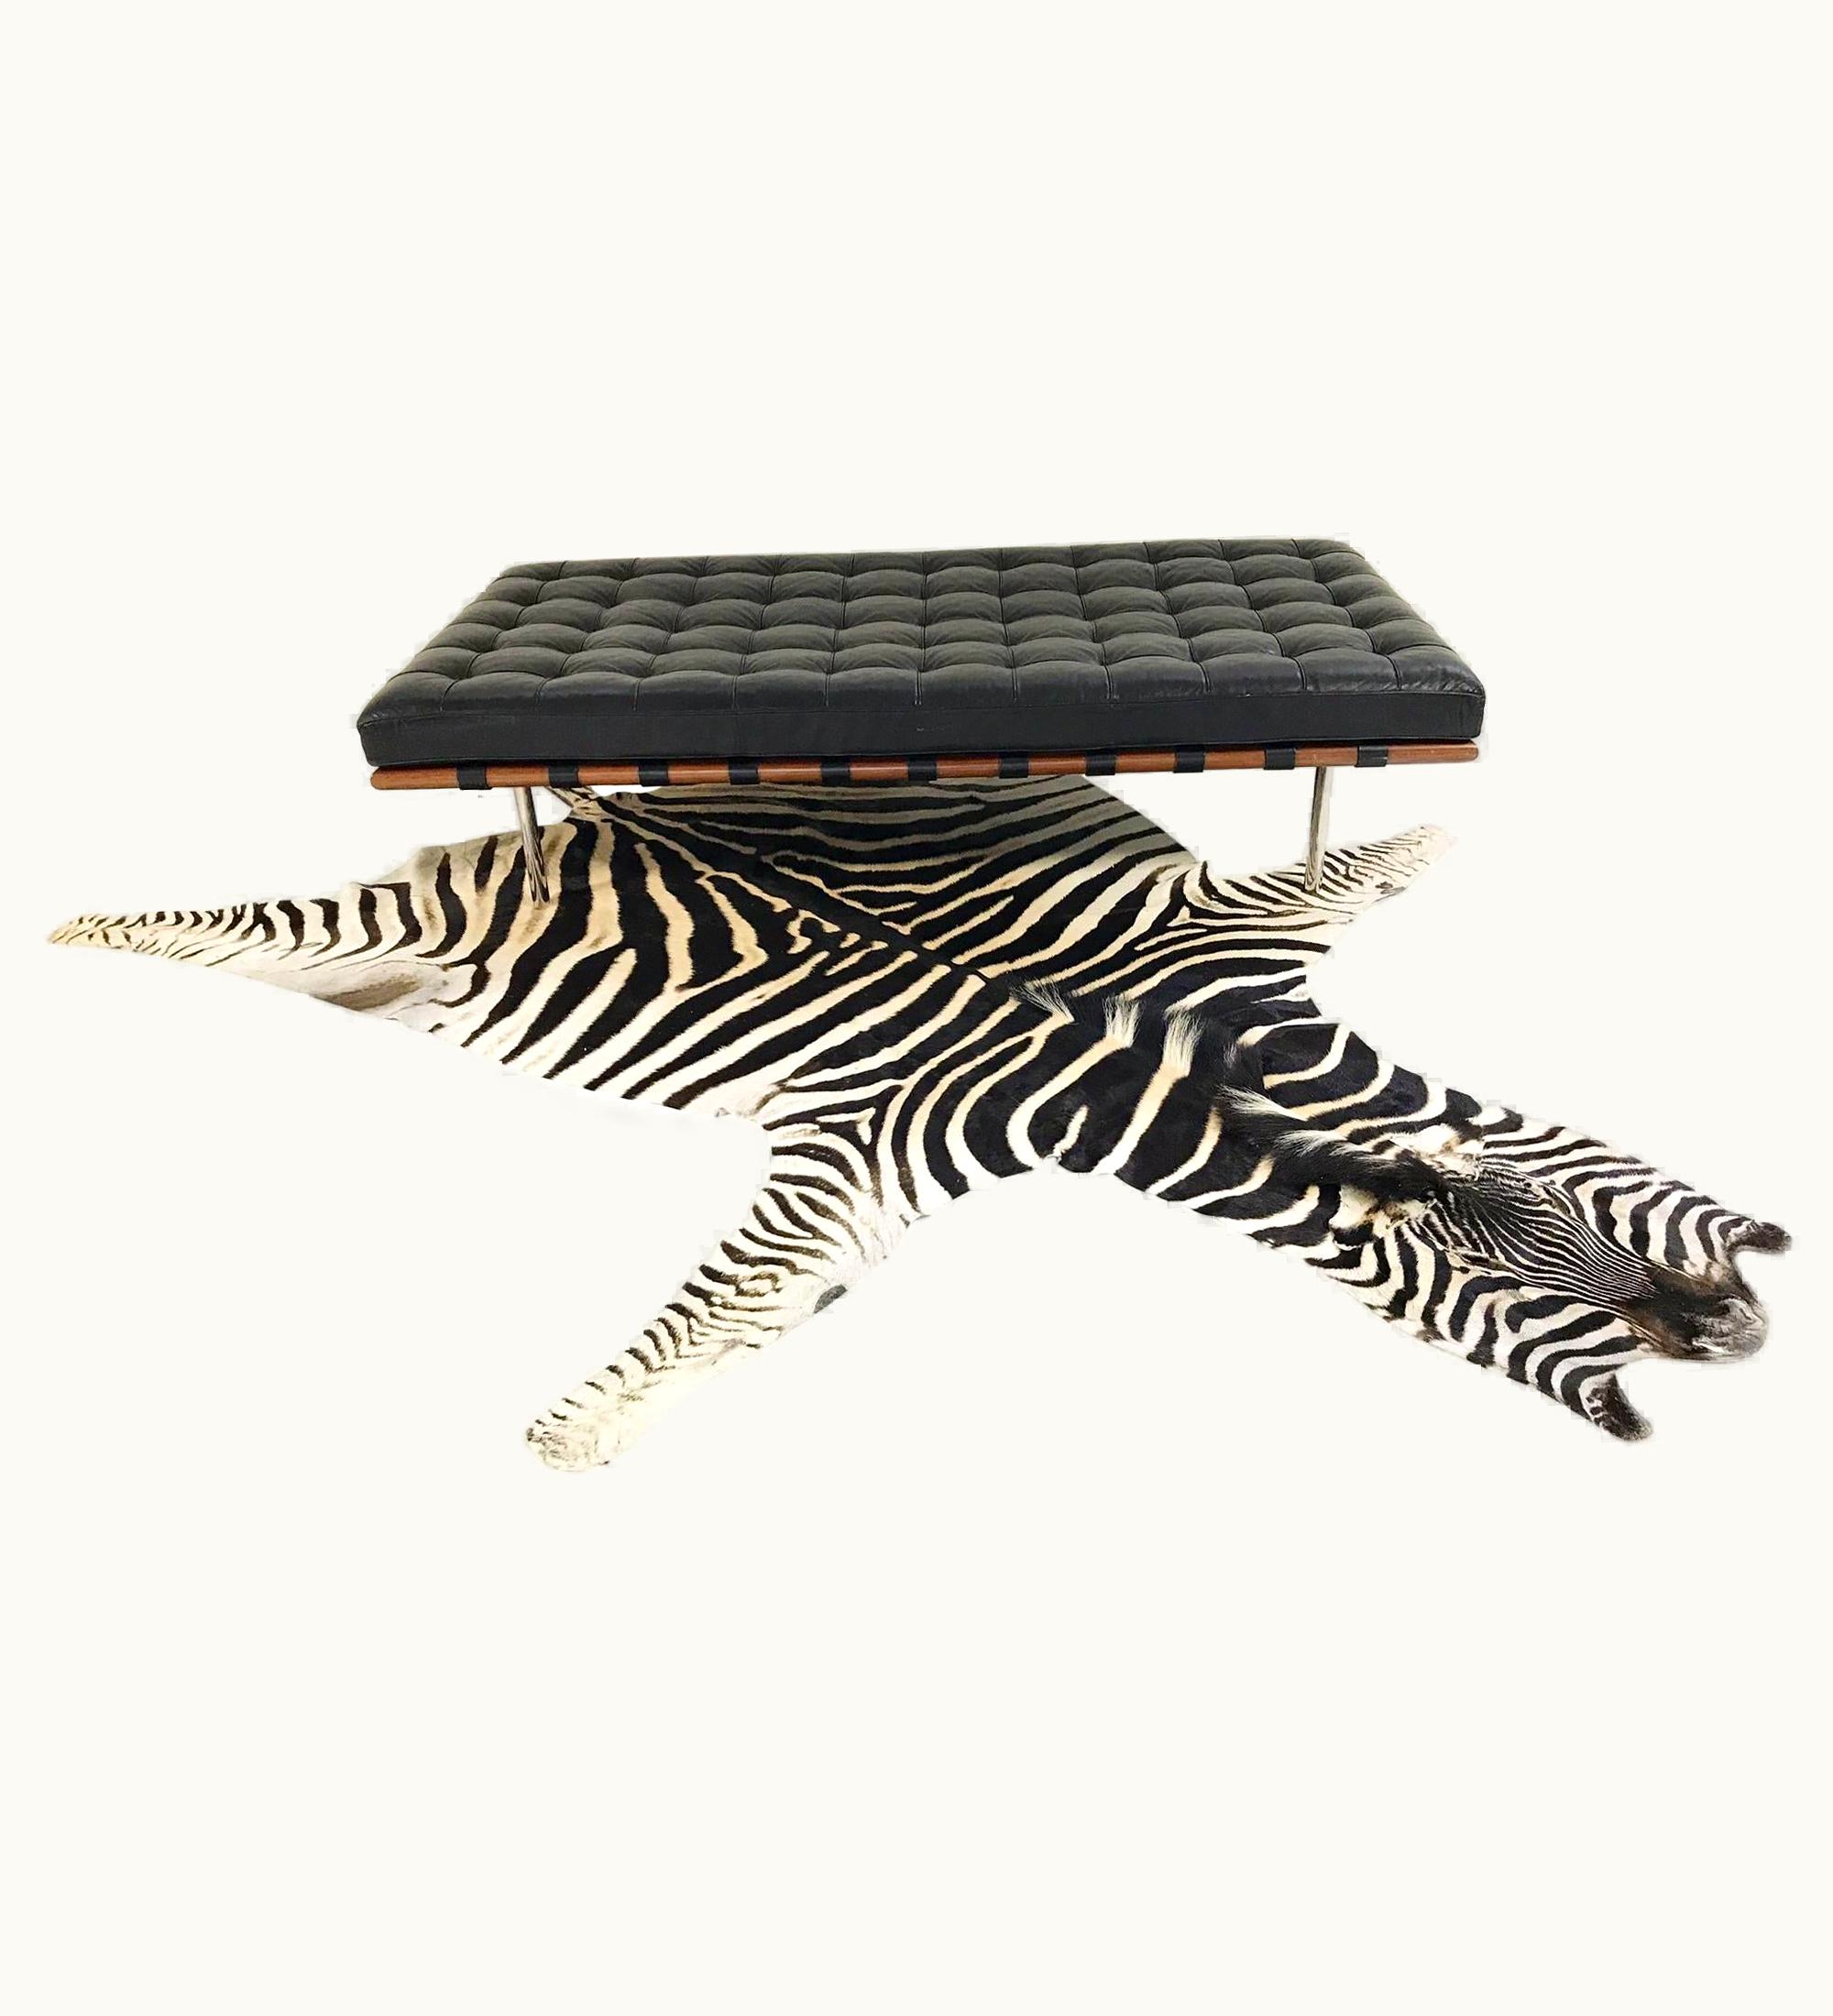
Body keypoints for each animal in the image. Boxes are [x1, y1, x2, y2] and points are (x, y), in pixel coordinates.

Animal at [52, 781, 1786, 1465]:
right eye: (1482, 1280)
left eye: (1573, 1221)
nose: (1743, 1337)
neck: (1158, 1061)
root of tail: (613, 809)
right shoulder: (869, 1140)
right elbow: (710, 1311)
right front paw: (582, 1432)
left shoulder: (1244, 945)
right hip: (413, 947)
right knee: (239, 933)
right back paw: (85, 930)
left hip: (430, 967)